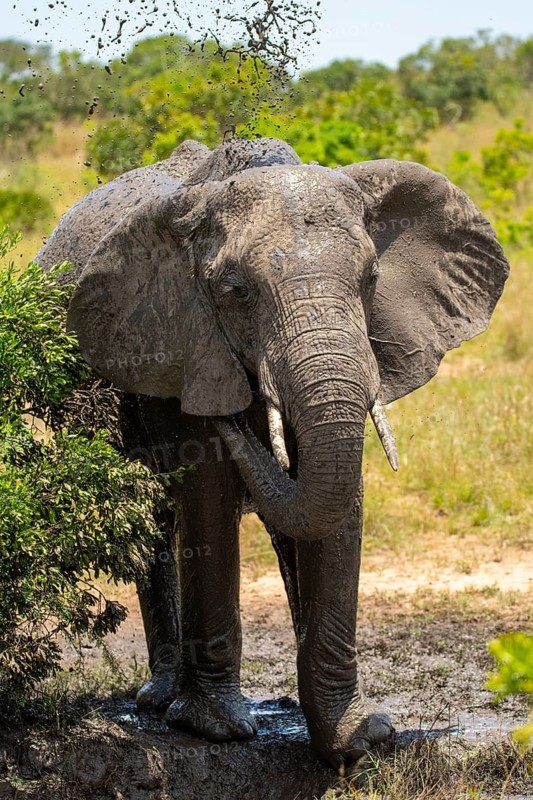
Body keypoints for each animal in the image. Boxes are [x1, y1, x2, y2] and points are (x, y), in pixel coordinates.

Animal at [36, 137, 509, 770]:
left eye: (370, 279)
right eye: (236, 291)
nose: (245, 418)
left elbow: (337, 501)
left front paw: (357, 741)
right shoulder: (185, 344)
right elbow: (206, 491)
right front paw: (215, 731)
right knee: (154, 519)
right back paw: (159, 700)